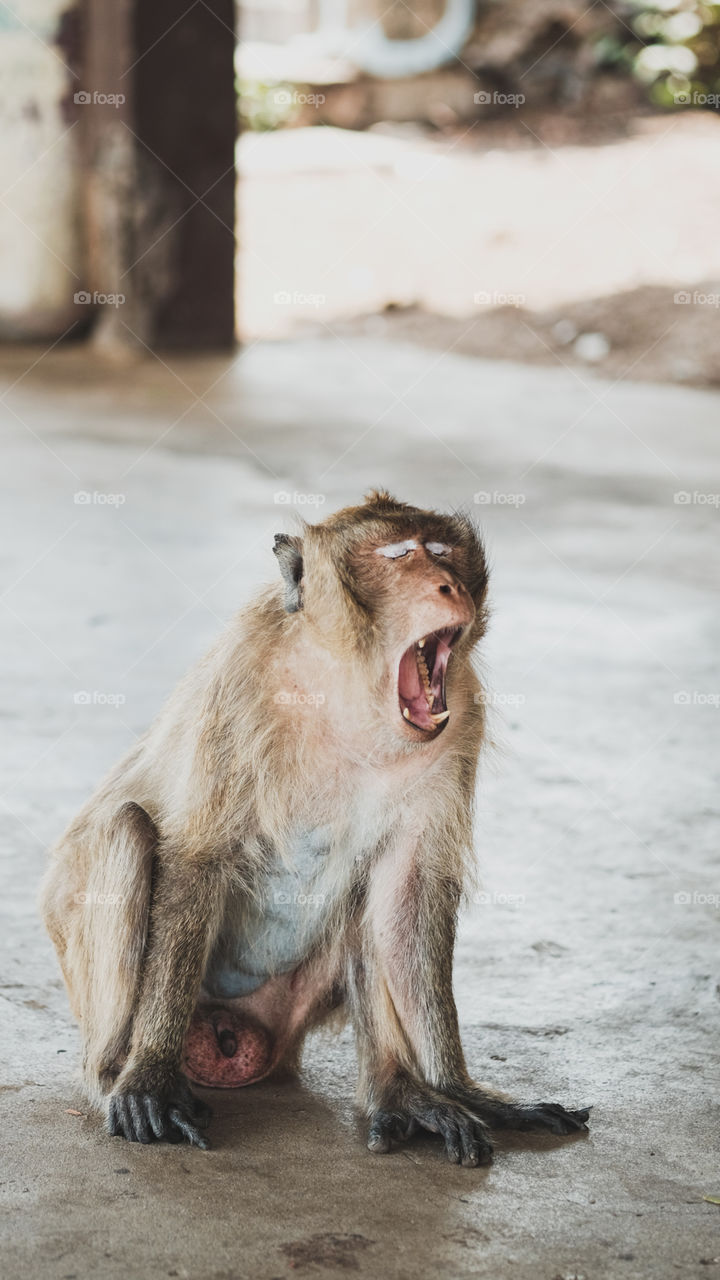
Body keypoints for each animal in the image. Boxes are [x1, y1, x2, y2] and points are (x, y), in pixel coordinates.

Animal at [41, 490, 589, 1162]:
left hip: (292, 1005)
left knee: (368, 893)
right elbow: (197, 854)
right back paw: (114, 1074)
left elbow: (408, 888)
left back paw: (397, 1092)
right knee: (127, 828)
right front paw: (149, 1076)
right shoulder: (241, 675)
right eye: (398, 555)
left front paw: (460, 1089)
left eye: (442, 552)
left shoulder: (460, 713)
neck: (348, 688)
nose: (449, 585)